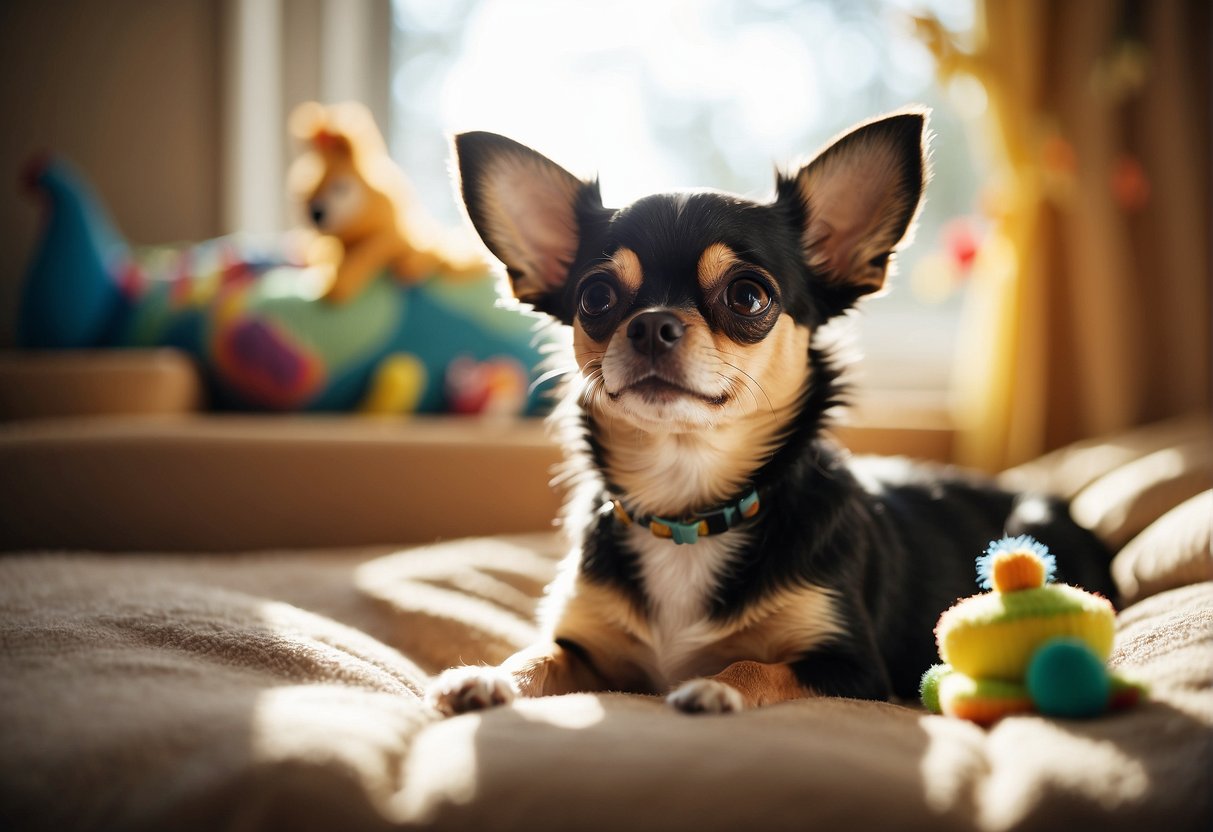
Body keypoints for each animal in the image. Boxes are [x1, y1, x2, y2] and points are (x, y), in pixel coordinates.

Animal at [431, 110, 1111, 717]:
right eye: (595, 298)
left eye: (748, 295)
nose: (650, 324)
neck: (690, 513)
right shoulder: (587, 648)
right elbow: (540, 655)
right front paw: (489, 675)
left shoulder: (854, 668)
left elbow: (757, 664)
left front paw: (715, 686)